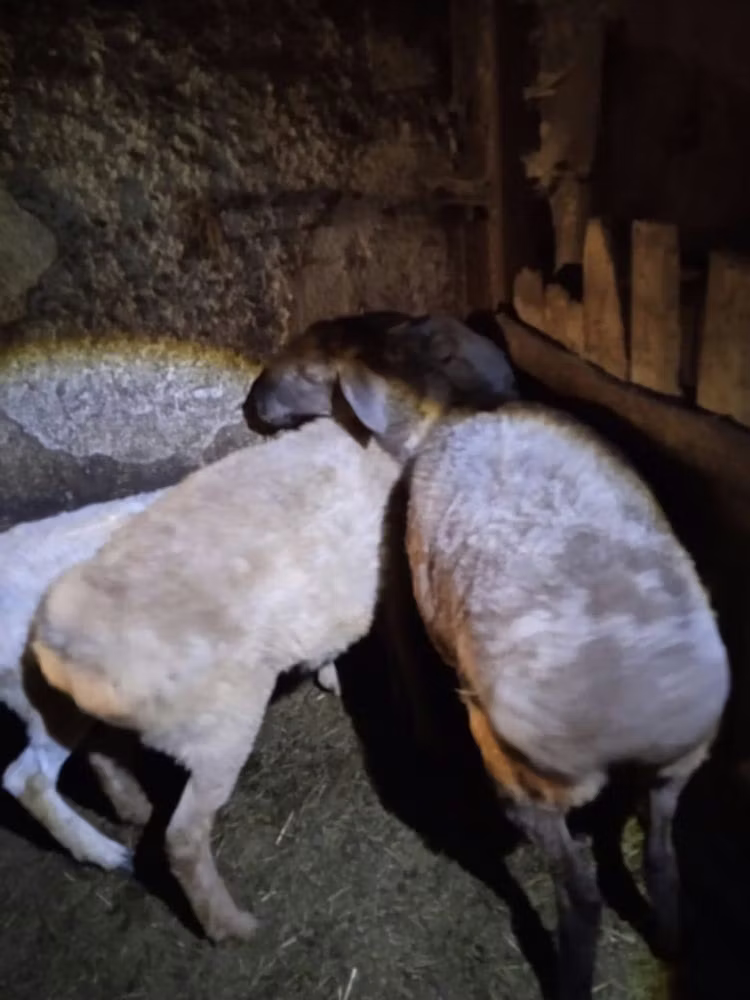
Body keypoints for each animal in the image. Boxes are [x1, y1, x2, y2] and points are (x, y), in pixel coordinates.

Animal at [26, 314, 518, 944]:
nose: (256, 403)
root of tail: (68, 652)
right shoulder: (394, 589)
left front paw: (329, 671)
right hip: (219, 730)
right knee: (181, 838)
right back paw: (227, 924)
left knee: (105, 754)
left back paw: (128, 809)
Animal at [245, 317, 731, 1000]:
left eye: (312, 374)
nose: (254, 404)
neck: (456, 404)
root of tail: (633, 723)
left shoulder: (402, 593)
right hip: (676, 769)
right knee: (661, 853)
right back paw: (669, 939)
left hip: (523, 781)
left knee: (581, 894)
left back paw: (570, 977)